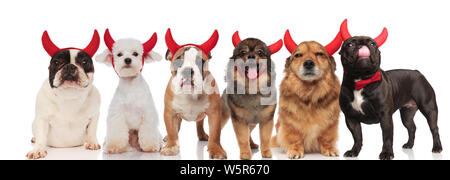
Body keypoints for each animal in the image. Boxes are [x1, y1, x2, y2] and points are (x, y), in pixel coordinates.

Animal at [28, 30, 102, 160]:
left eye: (85, 62)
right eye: (56, 62)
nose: (70, 66)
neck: (69, 95)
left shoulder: (94, 116)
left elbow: (92, 130)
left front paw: (92, 142)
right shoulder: (42, 119)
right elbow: (41, 135)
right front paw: (38, 149)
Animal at [160, 28, 227, 160]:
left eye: (201, 61)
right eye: (177, 62)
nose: (187, 70)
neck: (190, 93)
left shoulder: (214, 113)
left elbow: (215, 133)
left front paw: (216, 149)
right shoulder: (170, 113)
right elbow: (171, 130)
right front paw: (171, 146)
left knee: (199, 123)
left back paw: (203, 135)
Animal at [221, 31, 282, 160]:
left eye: (260, 52)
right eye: (243, 52)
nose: (251, 56)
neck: (253, 89)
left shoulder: (266, 120)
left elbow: (265, 138)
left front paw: (266, 152)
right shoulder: (239, 121)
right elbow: (242, 139)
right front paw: (245, 153)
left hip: (252, 123)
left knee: (249, 132)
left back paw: (252, 144)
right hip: (224, 116)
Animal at [340, 20, 442, 160]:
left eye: (373, 44)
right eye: (349, 44)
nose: (363, 45)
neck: (361, 80)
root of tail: (418, 73)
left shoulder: (385, 116)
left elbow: (387, 136)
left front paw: (387, 153)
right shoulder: (351, 117)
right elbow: (357, 137)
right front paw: (354, 151)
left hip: (429, 108)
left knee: (434, 128)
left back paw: (437, 147)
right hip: (406, 114)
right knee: (411, 127)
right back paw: (409, 145)